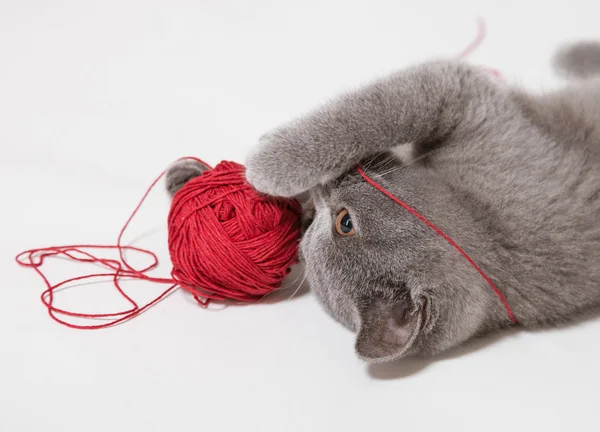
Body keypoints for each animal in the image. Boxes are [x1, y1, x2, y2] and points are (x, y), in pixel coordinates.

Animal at [166, 42, 600, 362]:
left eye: (344, 222)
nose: (332, 185)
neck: (480, 215)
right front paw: (188, 177)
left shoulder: (469, 101)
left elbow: (372, 113)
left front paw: (270, 163)